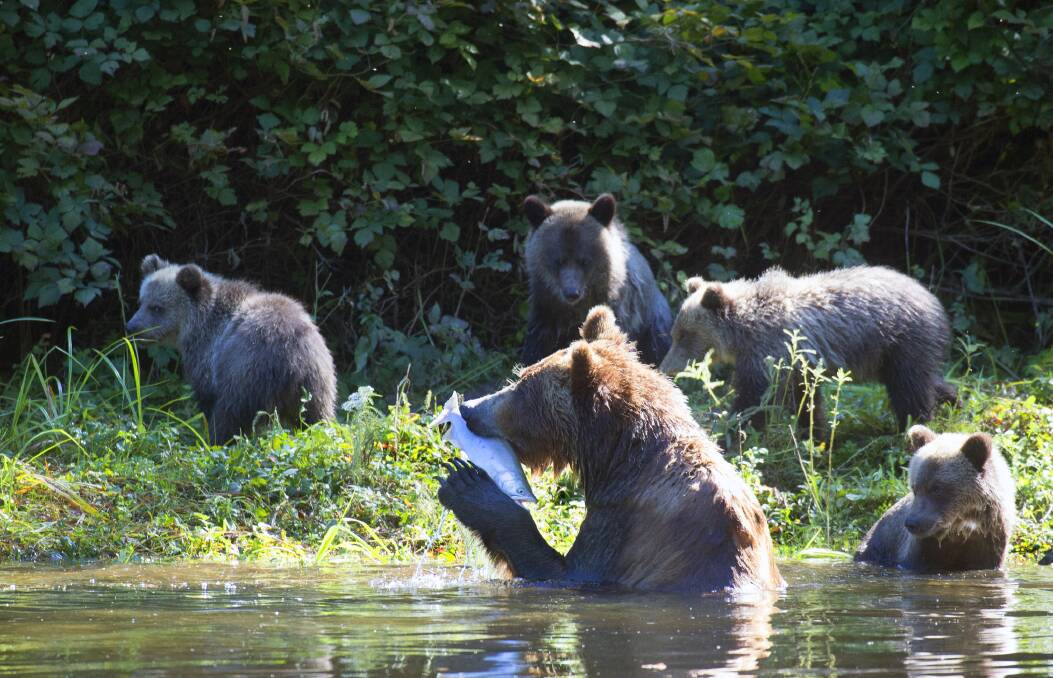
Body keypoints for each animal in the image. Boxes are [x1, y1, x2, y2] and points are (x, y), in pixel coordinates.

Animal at [126, 254, 337, 445]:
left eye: (157, 307)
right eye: (141, 301)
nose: (132, 327)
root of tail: (293, 358)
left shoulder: (208, 356)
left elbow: (207, 397)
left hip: (245, 370)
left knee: (230, 413)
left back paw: (215, 442)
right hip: (316, 381)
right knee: (316, 416)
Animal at [437, 305, 783, 593]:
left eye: (522, 387)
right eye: (521, 377)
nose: (469, 408)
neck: (618, 456)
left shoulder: (626, 523)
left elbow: (561, 570)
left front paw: (466, 484)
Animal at [521, 193, 673, 366]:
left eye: (584, 261)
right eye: (558, 261)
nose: (572, 293)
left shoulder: (619, 311)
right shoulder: (546, 307)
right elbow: (537, 346)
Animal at [658, 266, 958, 432]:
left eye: (686, 335)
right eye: (674, 334)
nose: (665, 368)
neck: (742, 332)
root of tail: (932, 298)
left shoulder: (768, 352)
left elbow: (754, 398)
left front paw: (733, 431)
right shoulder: (794, 363)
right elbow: (805, 400)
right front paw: (812, 432)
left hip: (901, 338)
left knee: (909, 386)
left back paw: (912, 424)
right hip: (886, 354)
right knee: (921, 378)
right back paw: (953, 399)